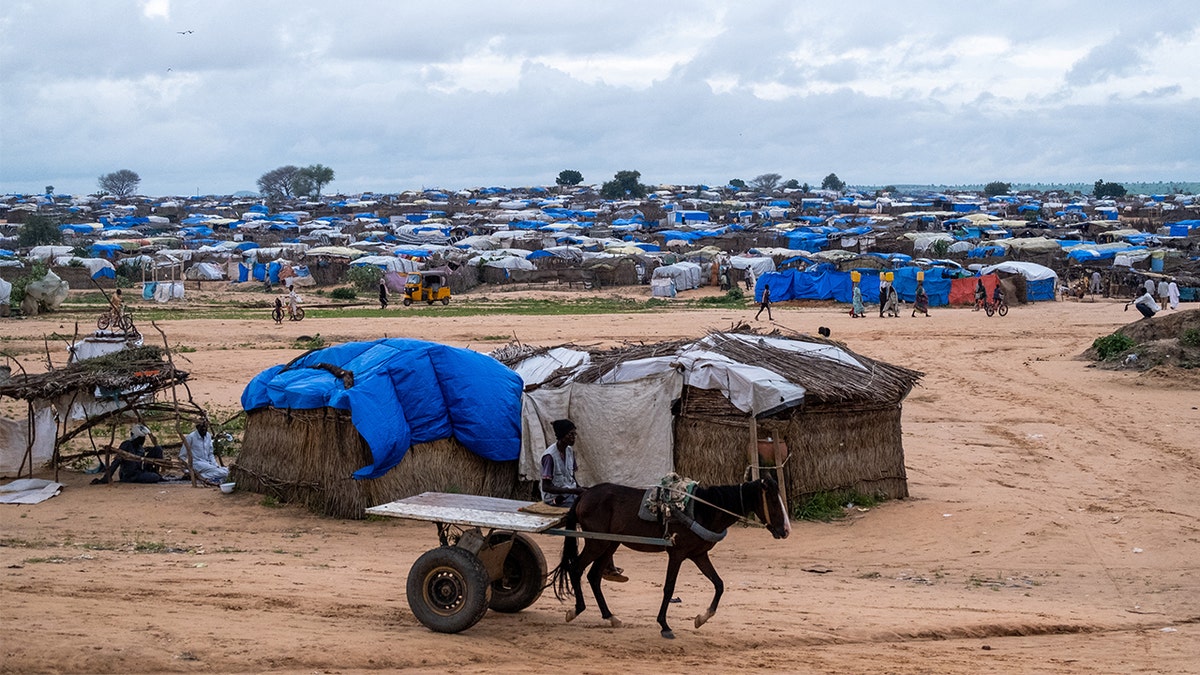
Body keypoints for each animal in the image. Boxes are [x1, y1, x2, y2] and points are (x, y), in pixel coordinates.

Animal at [549, 473, 792, 634]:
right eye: (772, 499)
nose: (786, 530)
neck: (703, 509)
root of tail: (585, 494)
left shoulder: (699, 555)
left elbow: (719, 584)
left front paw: (702, 617)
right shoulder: (677, 554)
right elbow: (669, 588)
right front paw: (664, 625)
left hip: (610, 544)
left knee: (593, 576)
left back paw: (611, 617)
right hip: (596, 543)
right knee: (576, 569)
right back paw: (577, 610)